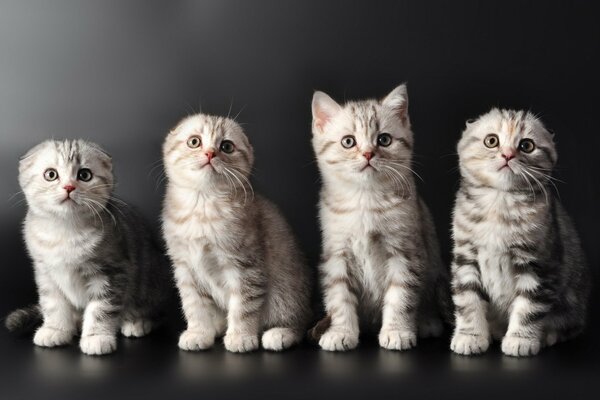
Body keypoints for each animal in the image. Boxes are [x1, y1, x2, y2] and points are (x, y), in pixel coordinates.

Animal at [5, 140, 169, 356]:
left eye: (84, 175)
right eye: (51, 174)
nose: (69, 186)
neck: (65, 232)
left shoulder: (112, 272)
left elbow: (101, 308)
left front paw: (96, 337)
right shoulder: (45, 273)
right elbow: (53, 303)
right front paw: (55, 329)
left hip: (153, 279)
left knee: (157, 311)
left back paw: (138, 322)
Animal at [164, 113, 314, 354]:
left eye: (226, 146)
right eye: (194, 141)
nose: (210, 153)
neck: (203, 206)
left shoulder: (246, 266)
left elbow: (244, 306)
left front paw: (241, 337)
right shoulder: (185, 268)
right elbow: (194, 305)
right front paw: (199, 332)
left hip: (287, 293)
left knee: (299, 321)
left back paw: (280, 333)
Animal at [312, 84, 448, 350]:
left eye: (384, 140)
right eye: (348, 142)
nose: (367, 154)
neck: (365, 200)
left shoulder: (405, 252)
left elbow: (401, 296)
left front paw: (397, 332)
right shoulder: (336, 254)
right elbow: (339, 297)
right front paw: (341, 332)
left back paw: (427, 322)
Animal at [450, 108, 592, 356]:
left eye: (526, 145)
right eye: (491, 141)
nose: (507, 155)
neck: (499, 201)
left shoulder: (539, 264)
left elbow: (529, 307)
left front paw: (521, 340)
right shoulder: (466, 258)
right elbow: (468, 300)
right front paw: (470, 336)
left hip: (572, 304)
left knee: (570, 327)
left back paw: (547, 336)